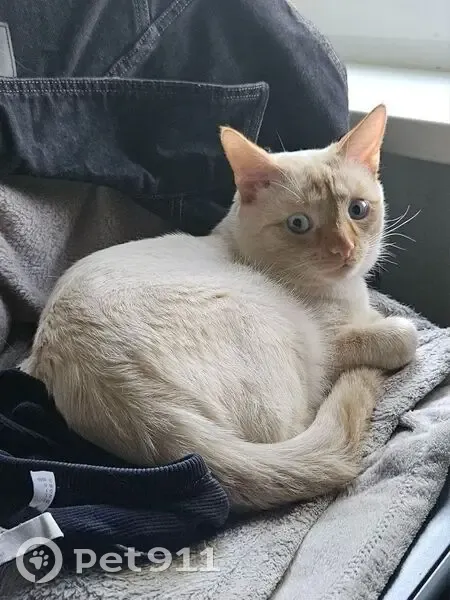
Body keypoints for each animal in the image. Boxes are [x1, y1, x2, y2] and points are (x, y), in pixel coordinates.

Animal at [23, 104, 418, 511]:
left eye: (358, 210)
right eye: (298, 224)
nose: (345, 251)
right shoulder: (330, 343)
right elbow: (395, 336)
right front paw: (393, 330)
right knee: (306, 422)